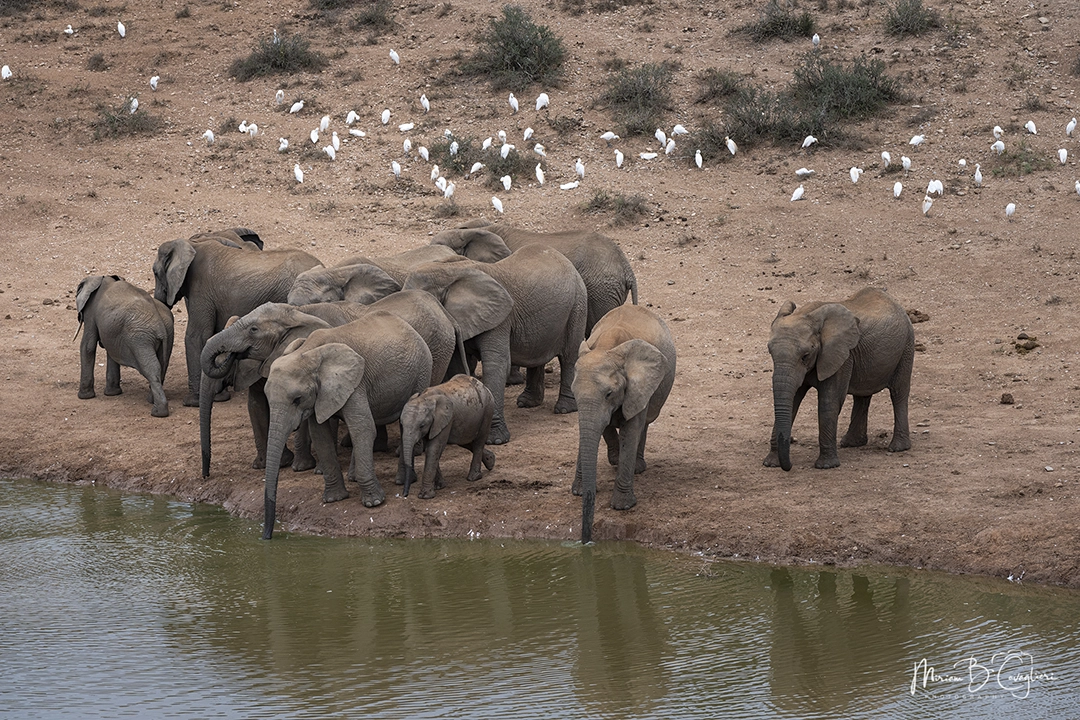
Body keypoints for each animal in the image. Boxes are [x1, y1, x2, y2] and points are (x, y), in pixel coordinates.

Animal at [76, 275, 174, 417]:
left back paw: (157, 412)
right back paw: (151, 401)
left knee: (152, 368)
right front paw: (112, 394)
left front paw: (84, 397)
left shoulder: (91, 312)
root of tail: (161, 323)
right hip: (167, 334)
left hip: (140, 339)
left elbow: (88, 346)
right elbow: (111, 352)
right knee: (162, 365)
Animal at [261, 312, 432, 539]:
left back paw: (402, 481)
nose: (267, 536)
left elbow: (363, 428)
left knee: (404, 422)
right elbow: (321, 436)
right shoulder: (321, 394)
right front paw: (335, 499)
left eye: (297, 399)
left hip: (422, 372)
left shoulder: (354, 384)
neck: (309, 352)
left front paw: (374, 503)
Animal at [403, 243, 588, 444]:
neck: (448, 272)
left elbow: (496, 365)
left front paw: (495, 441)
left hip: (578, 305)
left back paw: (564, 408)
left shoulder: (500, 319)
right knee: (536, 354)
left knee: (569, 355)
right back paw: (527, 403)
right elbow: (457, 365)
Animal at [570, 305, 676, 544]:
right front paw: (579, 492)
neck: (607, 347)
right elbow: (601, 427)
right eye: (573, 393)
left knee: (644, 423)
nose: (585, 541)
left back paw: (637, 468)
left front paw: (622, 507)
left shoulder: (638, 385)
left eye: (609, 393)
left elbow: (631, 428)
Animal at [764, 286, 914, 471]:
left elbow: (829, 402)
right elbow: (793, 400)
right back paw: (851, 443)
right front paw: (771, 463)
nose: (790, 466)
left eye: (805, 356)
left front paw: (826, 466)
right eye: (770, 352)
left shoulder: (841, 356)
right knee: (862, 396)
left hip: (907, 346)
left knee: (898, 393)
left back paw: (897, 448)